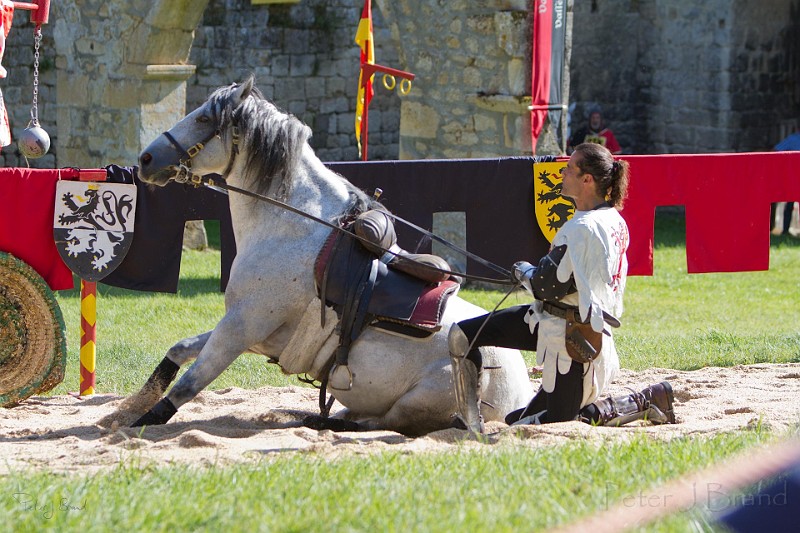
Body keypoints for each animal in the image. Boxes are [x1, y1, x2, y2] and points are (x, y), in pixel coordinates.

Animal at [125, 78, 532, 436]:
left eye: (204, 119)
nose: (146, 158)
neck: (291, 226)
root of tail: (520, 394)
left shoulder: (241, 327)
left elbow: (188, 385)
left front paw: (134, 424)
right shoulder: (254, 334)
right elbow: (179, 350)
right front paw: (127, 409)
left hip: (418, 404)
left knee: (377, 423)